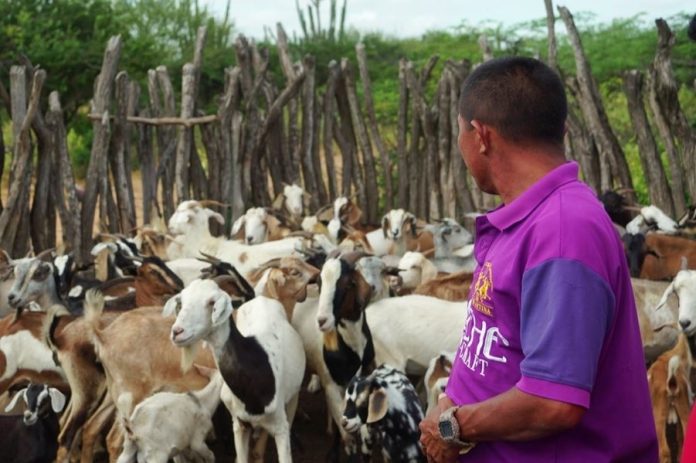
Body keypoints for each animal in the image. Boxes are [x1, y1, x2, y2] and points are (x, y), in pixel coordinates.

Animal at [167, 280, 306, 463]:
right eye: (181, 302)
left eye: (212, 302)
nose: (177, 332)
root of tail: (262, 299)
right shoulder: (239, 424)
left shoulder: (280, 426)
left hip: (293, 398)